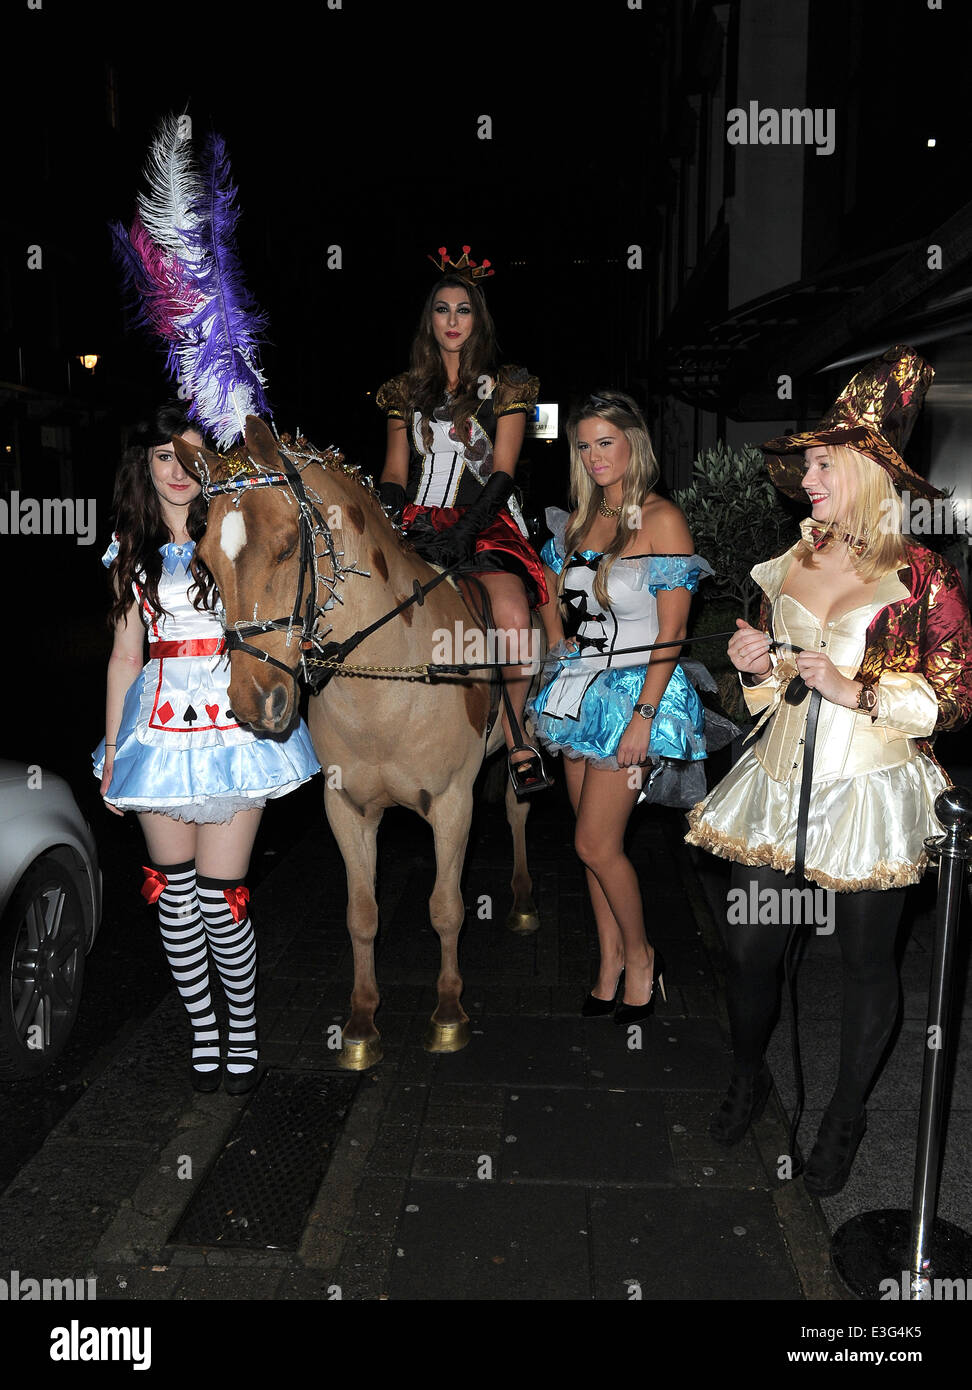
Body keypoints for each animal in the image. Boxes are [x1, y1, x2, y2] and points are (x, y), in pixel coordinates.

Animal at [175, 417, 547, 1067]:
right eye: (206, 561)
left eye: (287, 547)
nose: (255, 702)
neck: (384, 688)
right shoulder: (346, 810)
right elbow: (361, 915)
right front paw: (361, 1023)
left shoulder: (452, 804)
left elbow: (446, 909)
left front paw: (448, 1014)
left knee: (516, 806)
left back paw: (523, 899)